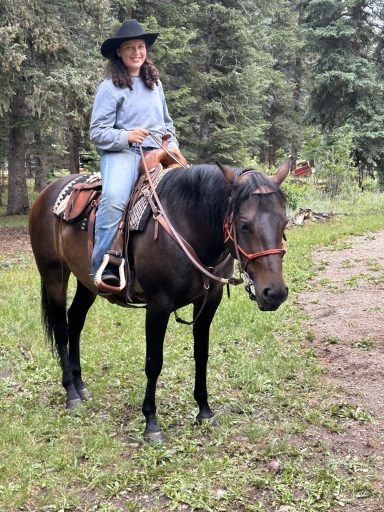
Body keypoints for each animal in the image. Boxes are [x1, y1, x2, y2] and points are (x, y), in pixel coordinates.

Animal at [30, 159, 292, 440]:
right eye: (244, 224)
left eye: (284, 222)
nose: (274, 293)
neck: (187, 226)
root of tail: (46, 193)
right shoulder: (158, 306)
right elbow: (153, 362)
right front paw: (151, 422)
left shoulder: (209, 302)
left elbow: (202, 354)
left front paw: (204, 410)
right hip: (54, 274)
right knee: (61, 327)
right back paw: (71, 391)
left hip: (88, 282)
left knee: (76, 320)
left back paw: (80, 386)